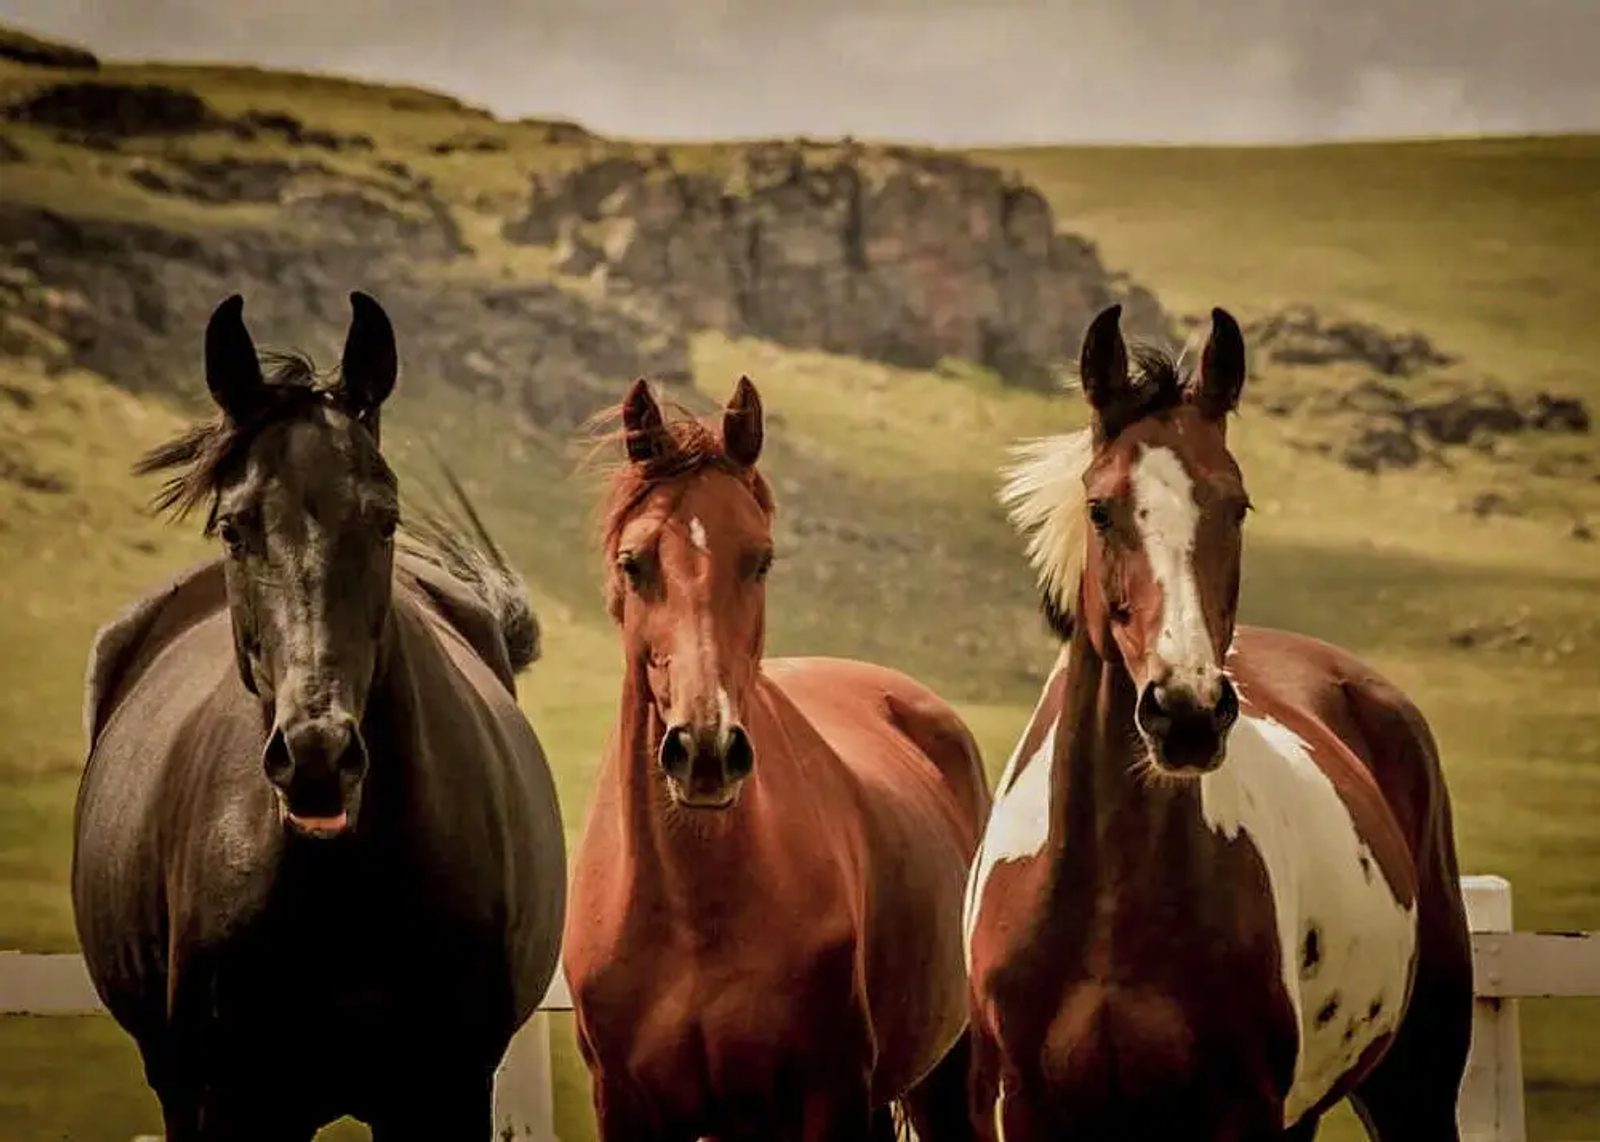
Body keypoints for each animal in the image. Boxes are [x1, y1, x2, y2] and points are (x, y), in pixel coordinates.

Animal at [561, 376, 993, 1141]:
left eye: (759, 559)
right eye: (633, 563)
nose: (705, 751)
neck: (692, 913)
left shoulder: (826, 1098)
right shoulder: (625, 1106)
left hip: (950, 1079)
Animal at [963, 304, 1473, 1140]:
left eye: (1237, 505)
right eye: (1100, 509)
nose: (1187, 713)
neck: (1109, 911)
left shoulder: (1241, 1109)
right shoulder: (1028, 1111)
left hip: (1414, 1085)